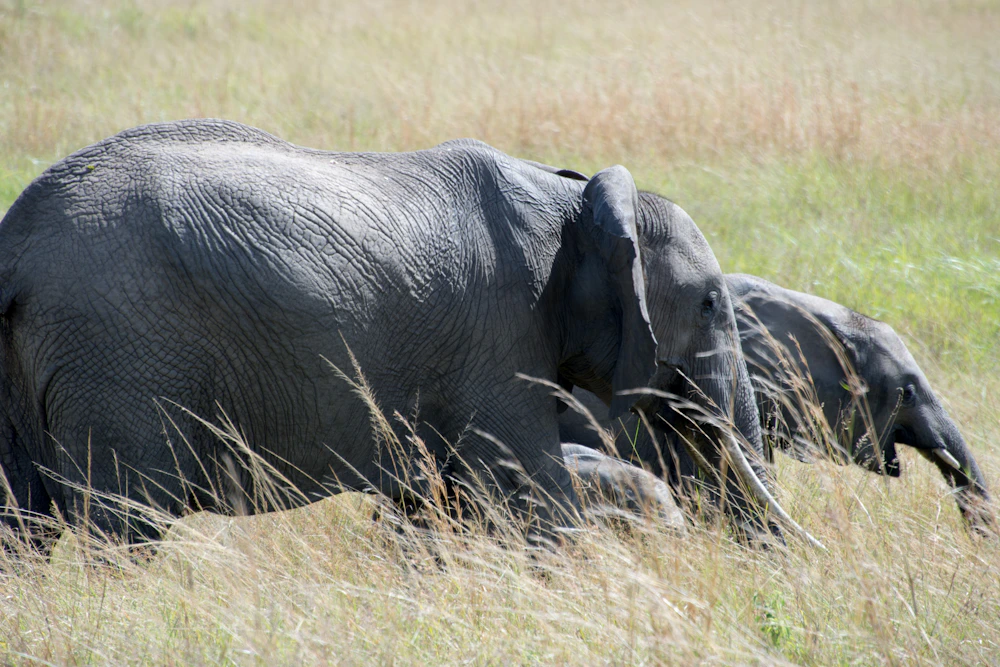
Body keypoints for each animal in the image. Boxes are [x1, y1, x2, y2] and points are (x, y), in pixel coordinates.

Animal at [0, 118, 809, 552]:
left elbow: (436, 503)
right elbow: (529, 493)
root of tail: (14, 242)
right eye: (709, 304)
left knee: (21, 528)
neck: (572, 200)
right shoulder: (501, 336)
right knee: (123, 527)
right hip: (121, 356)